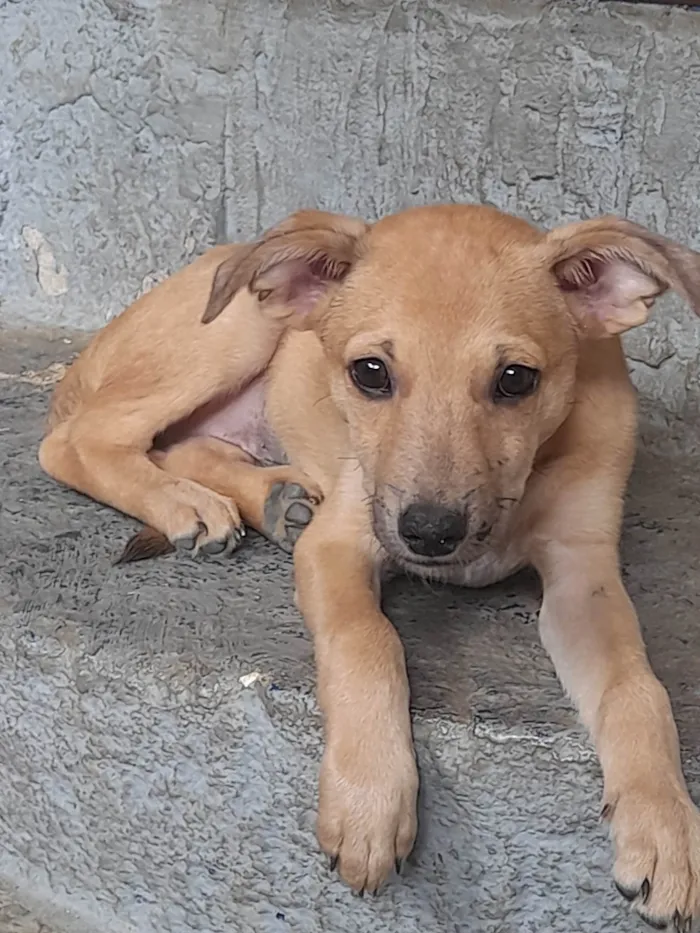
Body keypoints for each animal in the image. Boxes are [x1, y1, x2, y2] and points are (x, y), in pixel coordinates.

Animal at [42, 204, 700, 924]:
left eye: (516, 379)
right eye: (370, 372)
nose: (431, 533)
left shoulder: (584, 574)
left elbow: (637, 686)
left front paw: (666, 828)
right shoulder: (343, 541)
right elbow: (368, 641)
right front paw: (370, 799)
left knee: (183, 444)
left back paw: (274, 500)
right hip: (235, 329)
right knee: (77, 441)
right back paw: (184, 501)